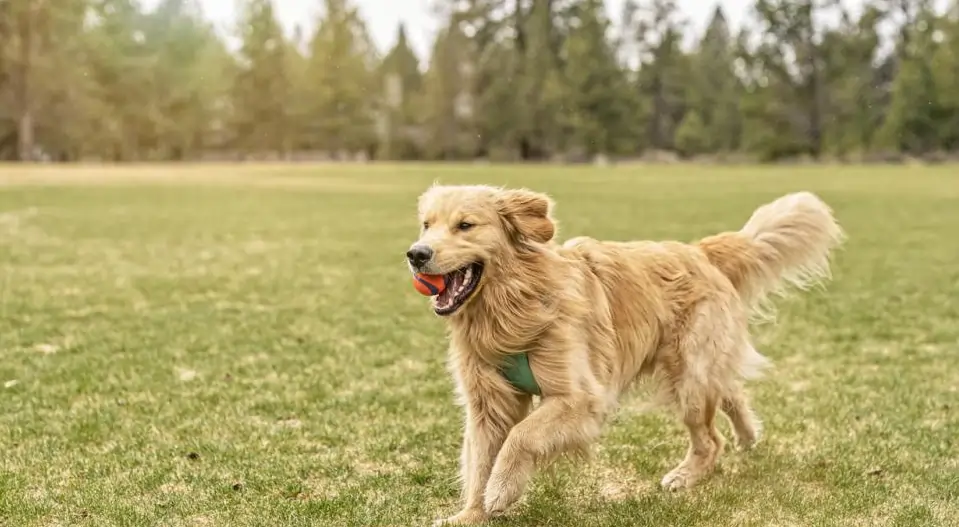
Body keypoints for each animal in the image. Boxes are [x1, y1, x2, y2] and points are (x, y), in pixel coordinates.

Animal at [408, 185, 844, 524]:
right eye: (427, 224)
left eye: (465, 225)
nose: (416, 254)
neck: (512, 307)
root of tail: (699, 251)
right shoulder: (487, 404)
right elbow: (479, 460)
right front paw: (471, 514)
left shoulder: (579, 399)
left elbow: (520, 436)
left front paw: (501, 490)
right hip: (698, 370)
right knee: (731, 389)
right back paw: (749, 434)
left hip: (689, 377)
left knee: (710, 438)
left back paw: (686, 474)